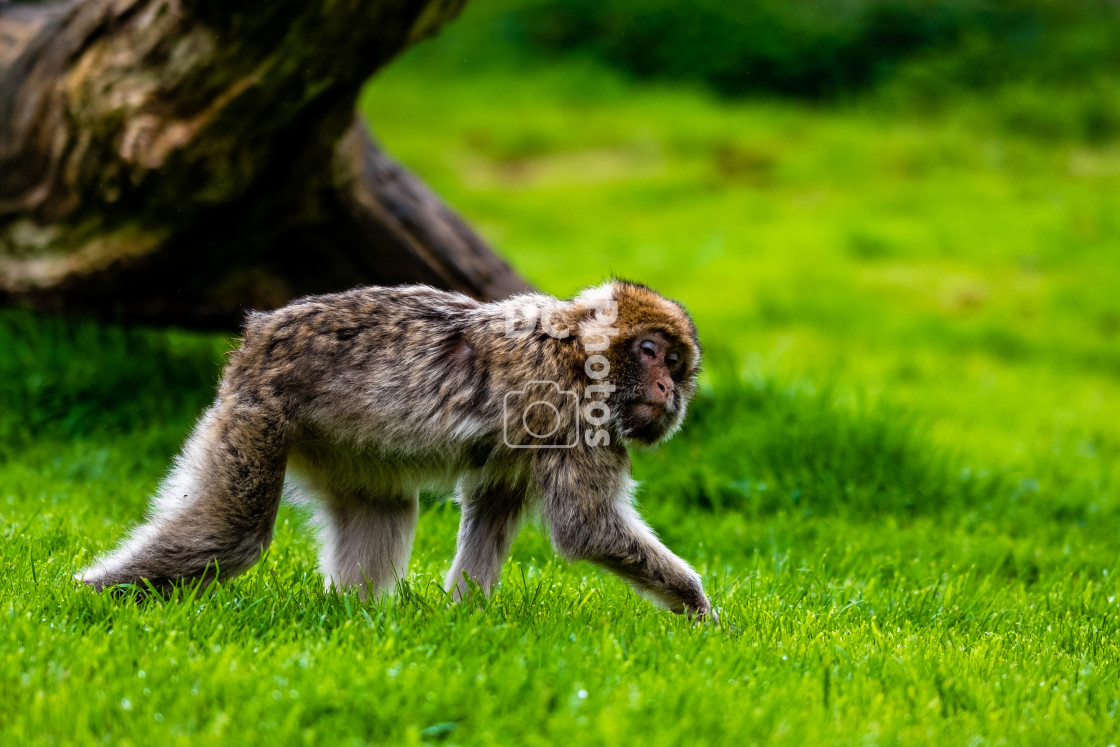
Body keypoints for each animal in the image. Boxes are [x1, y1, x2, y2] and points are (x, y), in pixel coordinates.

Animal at [81, 279, 716, 618]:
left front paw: (465, 616)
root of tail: (257, 335)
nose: (667, 388)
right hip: (258, 414)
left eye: (676, 363)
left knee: (382, 508)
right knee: (232, 532)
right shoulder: (573, 411)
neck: (584, 353)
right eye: (651, 352)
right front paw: (702, 613)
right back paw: (91, 596)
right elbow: (586, 527)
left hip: (332, 446)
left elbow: (493, 505)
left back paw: (352, 615)